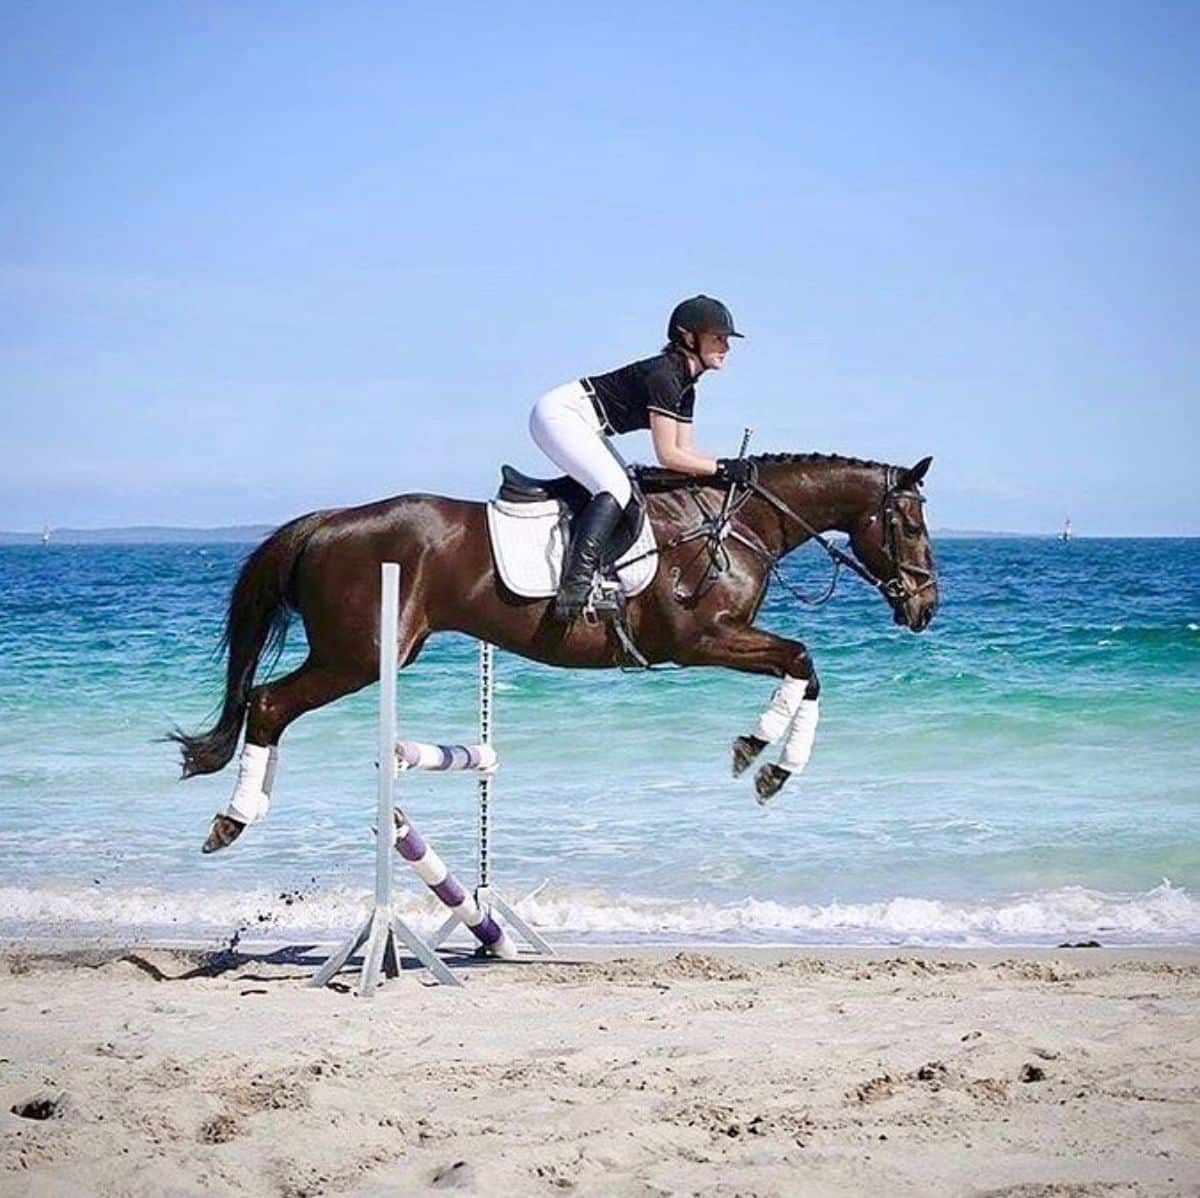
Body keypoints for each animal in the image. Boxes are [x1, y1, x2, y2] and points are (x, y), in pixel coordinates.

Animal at [171, 451, 936, 854]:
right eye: (908, 524)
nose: (926, 608)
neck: (733, 523)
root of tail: (327, 522)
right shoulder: (701, 639)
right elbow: (802, 660)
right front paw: (760, 756)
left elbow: (805, 671)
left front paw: (767, 764)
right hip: (358, 657)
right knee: (268, 703)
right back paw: (234, 818)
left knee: (265, 705)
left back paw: (244, 811)